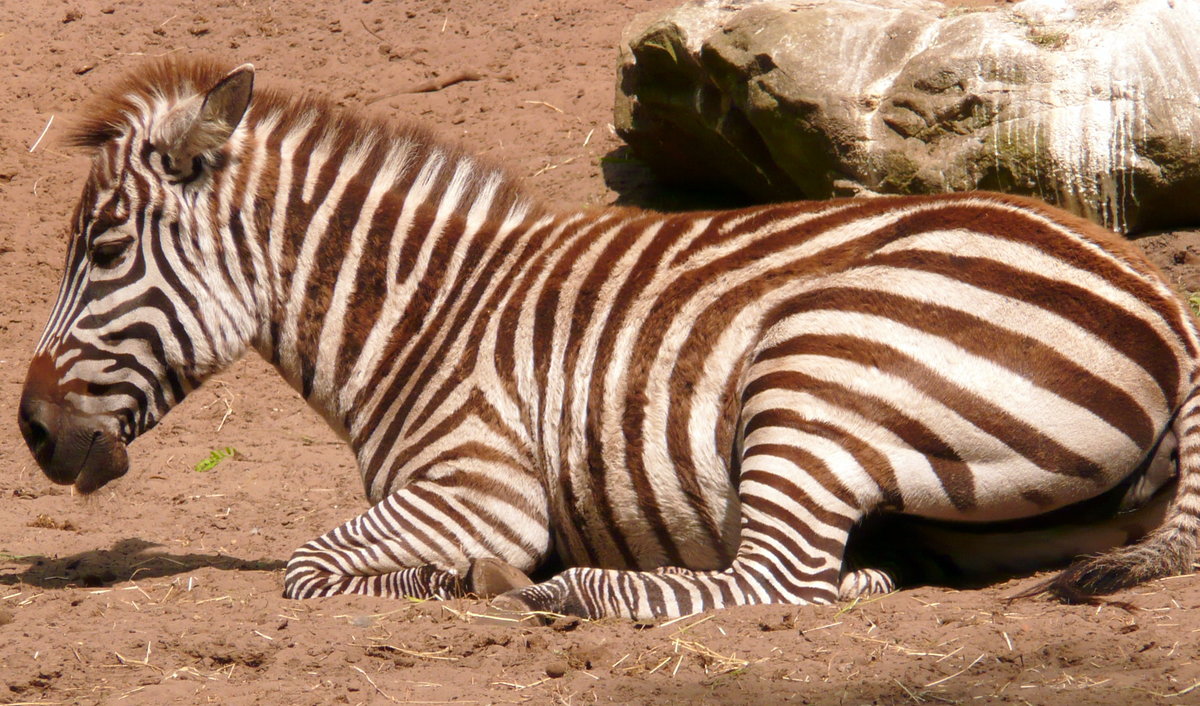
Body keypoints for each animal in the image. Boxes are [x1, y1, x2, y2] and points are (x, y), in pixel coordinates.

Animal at [16, 59, 1200, 619]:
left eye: (106, 249)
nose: (30, 431)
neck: (420, 318)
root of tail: (1158, 288)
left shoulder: (479, 487)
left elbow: (307, 569)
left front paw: (470, 580)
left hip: (817, 367)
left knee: (776, 581)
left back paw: (561, 593)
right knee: (831, 578)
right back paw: (884, 569)